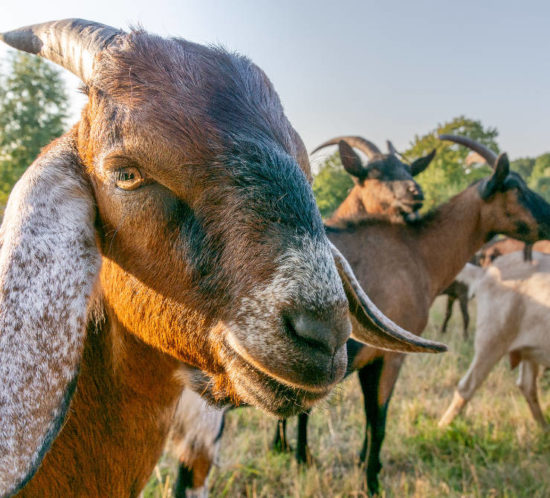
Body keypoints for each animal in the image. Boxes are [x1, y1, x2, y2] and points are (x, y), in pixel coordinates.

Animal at [440, 253, 550, 428]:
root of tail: (487, 272)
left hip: (530, 349)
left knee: (527, 385)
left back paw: (544, 428)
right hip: (492, 340)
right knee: (467, 386)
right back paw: (442, 427)